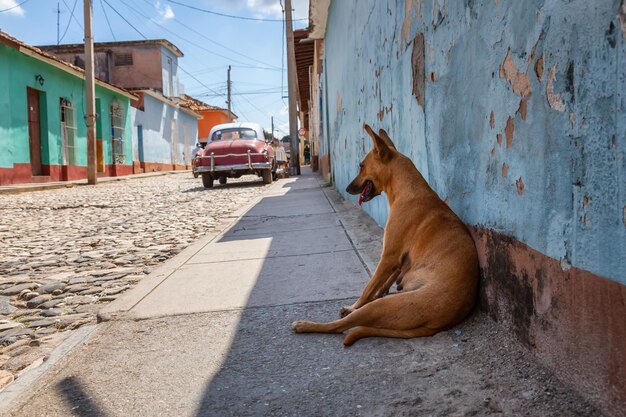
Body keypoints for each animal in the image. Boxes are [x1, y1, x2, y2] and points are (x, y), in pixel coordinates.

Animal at [290, 123, 476, 344]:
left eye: (361, 166)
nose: (347, 188)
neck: (408, 190)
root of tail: (440, 324)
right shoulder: (398, 260)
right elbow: (382, 284)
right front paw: (380, 290)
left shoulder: (388, 257)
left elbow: (367, 290)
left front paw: (354, 305)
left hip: (379, 308)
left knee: (339, 326)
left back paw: (307, 324)